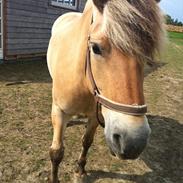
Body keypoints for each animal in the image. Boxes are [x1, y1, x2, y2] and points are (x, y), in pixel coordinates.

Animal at [46, 0, 164, 182]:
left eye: (147, 56)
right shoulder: (60, 111)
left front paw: (80, 168)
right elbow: (57, 152)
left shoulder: (95, 116)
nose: (133, 142)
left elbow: (87, 141)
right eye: (95, 48)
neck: (84, 82)